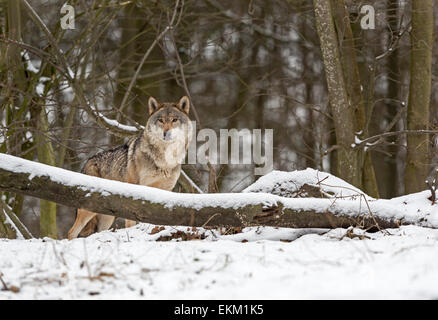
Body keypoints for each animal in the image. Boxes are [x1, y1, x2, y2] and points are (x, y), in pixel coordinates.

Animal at [67, 96, 192, 239]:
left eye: (174, 120)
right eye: (160, 120)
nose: (166, 133)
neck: (164, 161)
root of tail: (86, 163)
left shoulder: (165, 191)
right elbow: (131, 223)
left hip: (107, 217)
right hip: (90, 210)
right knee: (71, 232)